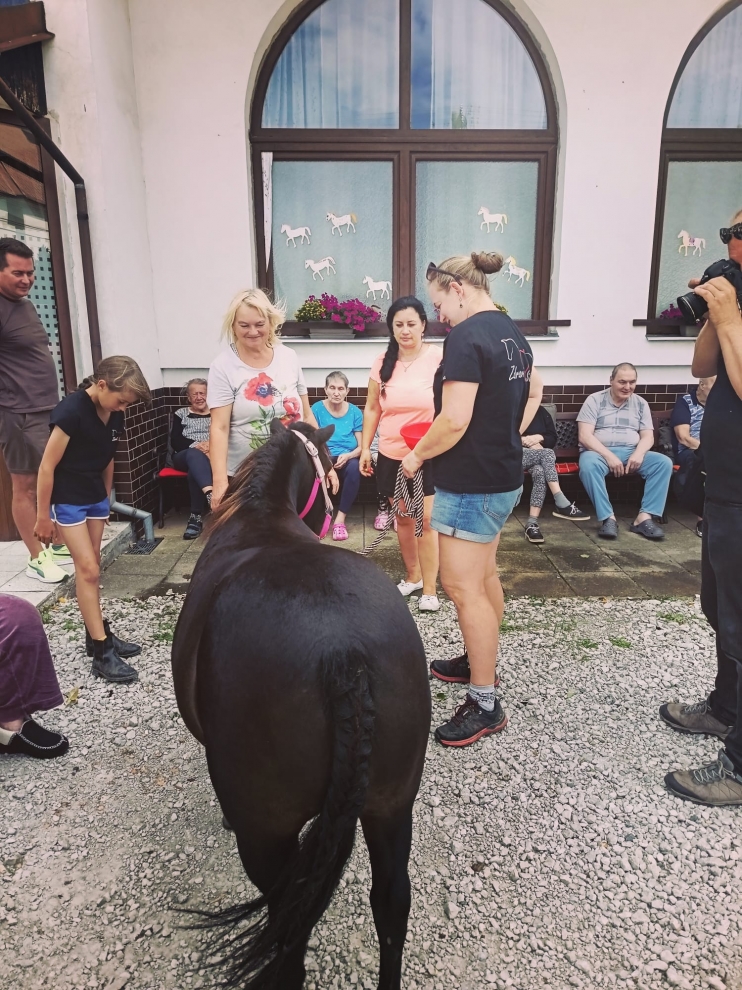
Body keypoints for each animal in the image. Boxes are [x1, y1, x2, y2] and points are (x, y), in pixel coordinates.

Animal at [171, 419, 430, 990]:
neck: (260, 516)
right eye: (330, 470)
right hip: (393, 803)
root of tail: (344, 651)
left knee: (286, 925)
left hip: (268, 829)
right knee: (391, 903)